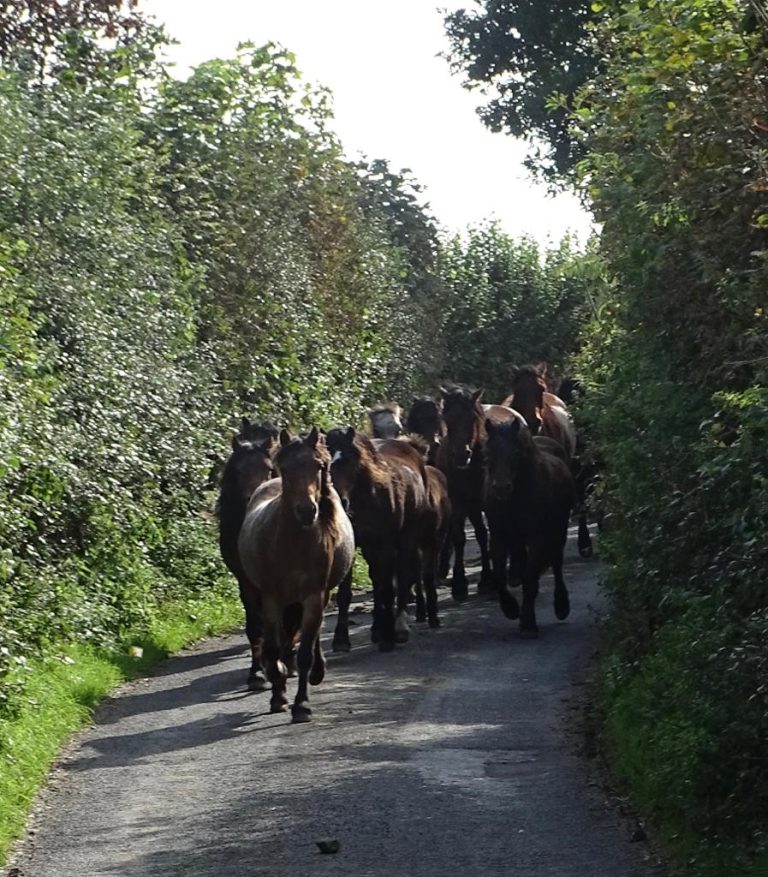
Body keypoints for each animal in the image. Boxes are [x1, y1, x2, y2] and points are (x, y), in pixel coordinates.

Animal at [237, 428, 354, 722]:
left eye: (319, 466)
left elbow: (304, 654)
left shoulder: (314, 597)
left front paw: (302, 705)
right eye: (287, 468)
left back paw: (317, 671)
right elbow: (272, 648)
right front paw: (277, 693)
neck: (294, 543)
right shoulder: (271, 599)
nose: (307, 510)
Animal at [326, 427, 428, 652]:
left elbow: (388, 587)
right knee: (378, 579)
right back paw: (377, 628)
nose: (341, 502)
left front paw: (388, 636)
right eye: (324, 465)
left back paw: (398, 627)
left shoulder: (386, 545)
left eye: (350, 460)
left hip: (407, 537)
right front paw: (341, 639)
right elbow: (346, 594)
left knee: (402, 575)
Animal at [435, 385, 519, 601]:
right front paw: (459, 584)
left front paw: (487, 580)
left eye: (472, 418)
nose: (461, 455)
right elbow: (462, 537)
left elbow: (487, 536)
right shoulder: (460, 502)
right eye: (446, 417)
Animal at [484, 418, 574, 636]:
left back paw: (561, 606)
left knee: (556, 563)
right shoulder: (499, 536)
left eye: (516, 452)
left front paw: (528, 623)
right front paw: (511, 609)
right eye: (488, 453)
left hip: (558, 532)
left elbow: (531, 576)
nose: (501, 488)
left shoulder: (537, 537)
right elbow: (500, 576)